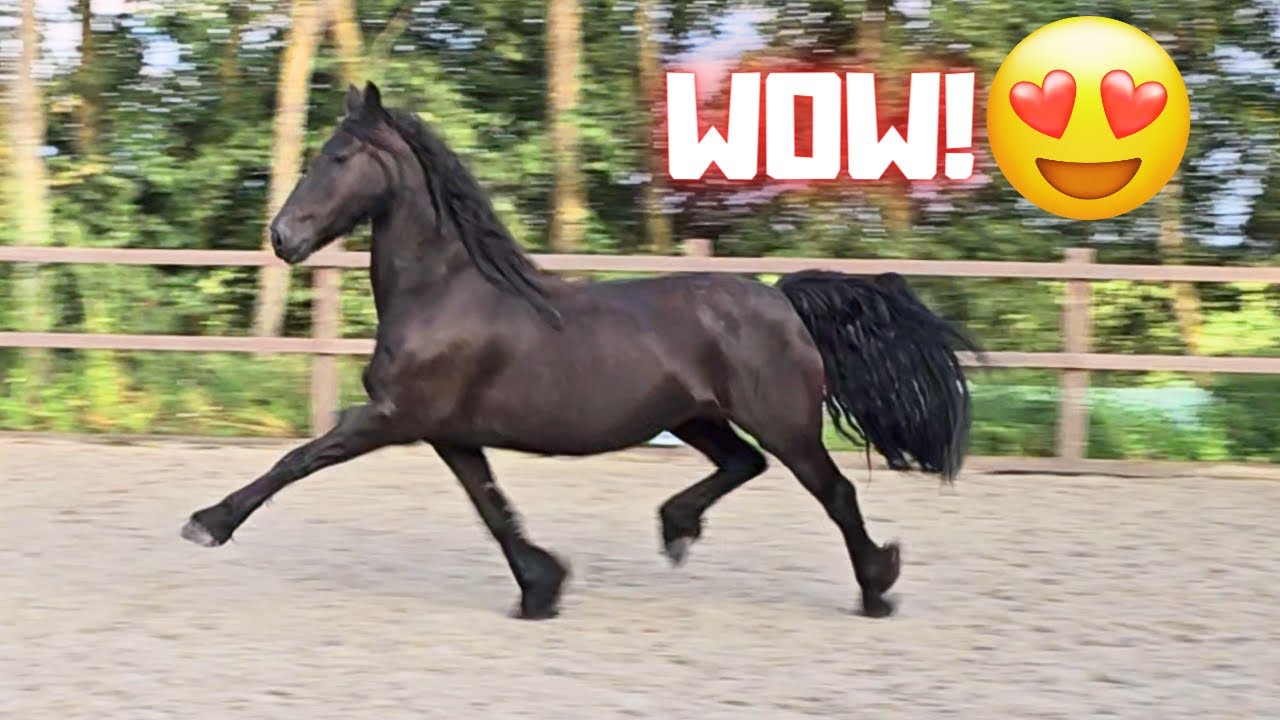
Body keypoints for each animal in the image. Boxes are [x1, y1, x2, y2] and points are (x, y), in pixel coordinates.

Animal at [181, 82, 979, 620]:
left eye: (340, 155)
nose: (282, 237)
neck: (444, 291)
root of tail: (779, 298)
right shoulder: (446, 432)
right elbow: (493, 507)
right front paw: (541, 588)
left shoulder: (391, 416)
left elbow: (298, 458)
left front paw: (207, 524)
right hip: (697, 417)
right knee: (741, 464)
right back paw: (677, 529)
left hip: (784, 422)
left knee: (834, 492)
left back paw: (877, 588)